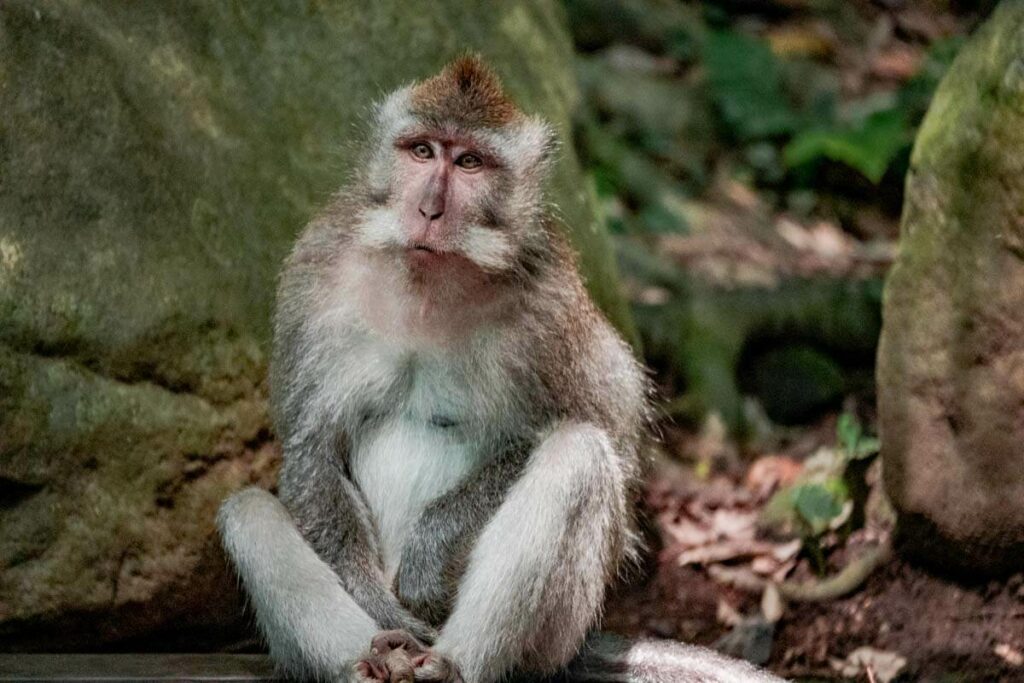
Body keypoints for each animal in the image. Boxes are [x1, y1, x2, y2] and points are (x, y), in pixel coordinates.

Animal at [218, 56, 782, 683]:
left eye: (470, 162)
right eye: (422, 150)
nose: (429, 209)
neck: (431, 283)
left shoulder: (551, 308)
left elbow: (607, 437)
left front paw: (429, 555)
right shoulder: (314, 275)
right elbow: (311, 446)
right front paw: (371, 597)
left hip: (559, 635)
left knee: (579, 455)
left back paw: (450, 666)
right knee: (248, 512)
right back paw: (371, 658)